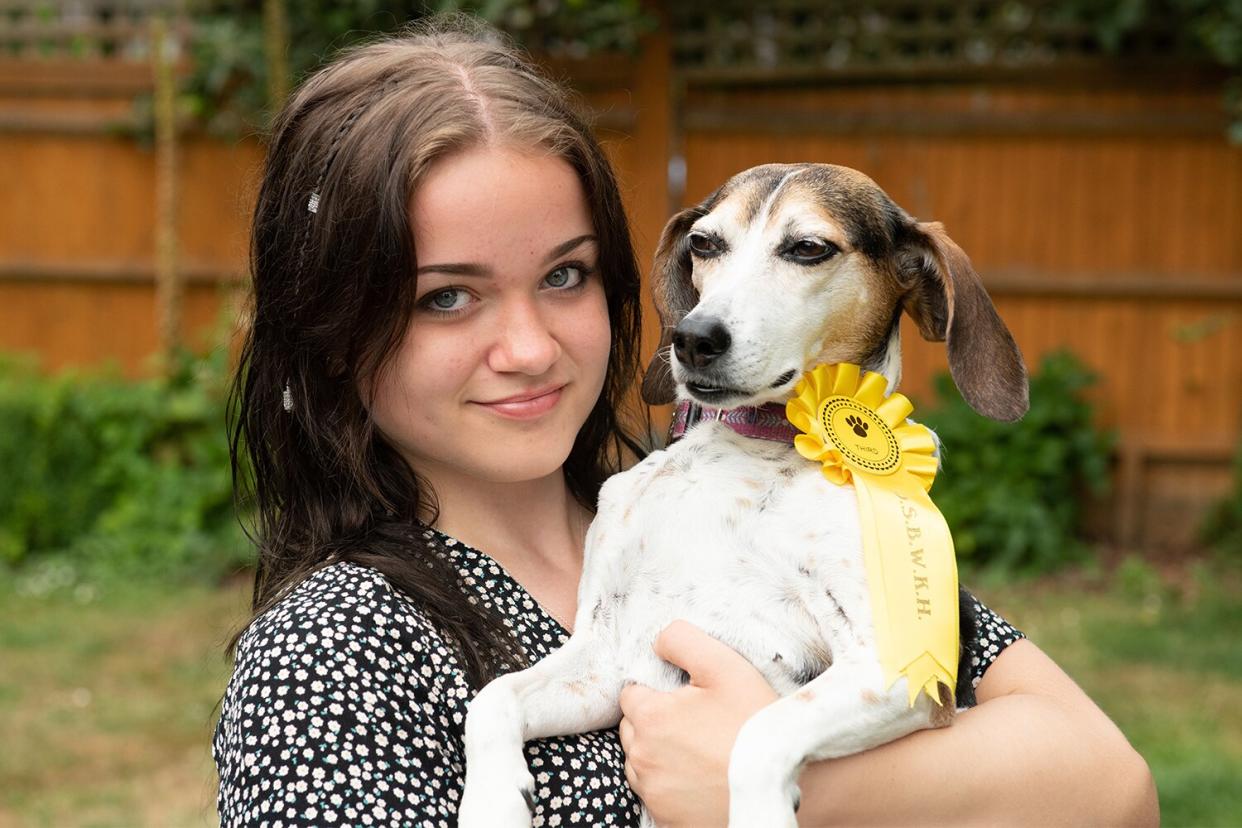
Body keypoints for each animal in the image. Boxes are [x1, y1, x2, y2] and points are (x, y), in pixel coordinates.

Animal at [457, 163, 1028, 828]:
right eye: (704, 243)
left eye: (809, 248)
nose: (693, 337)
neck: (749, 454)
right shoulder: (606, 659)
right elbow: (493, 697)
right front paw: (492, 803)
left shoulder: (901, 672)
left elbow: (759, 732)